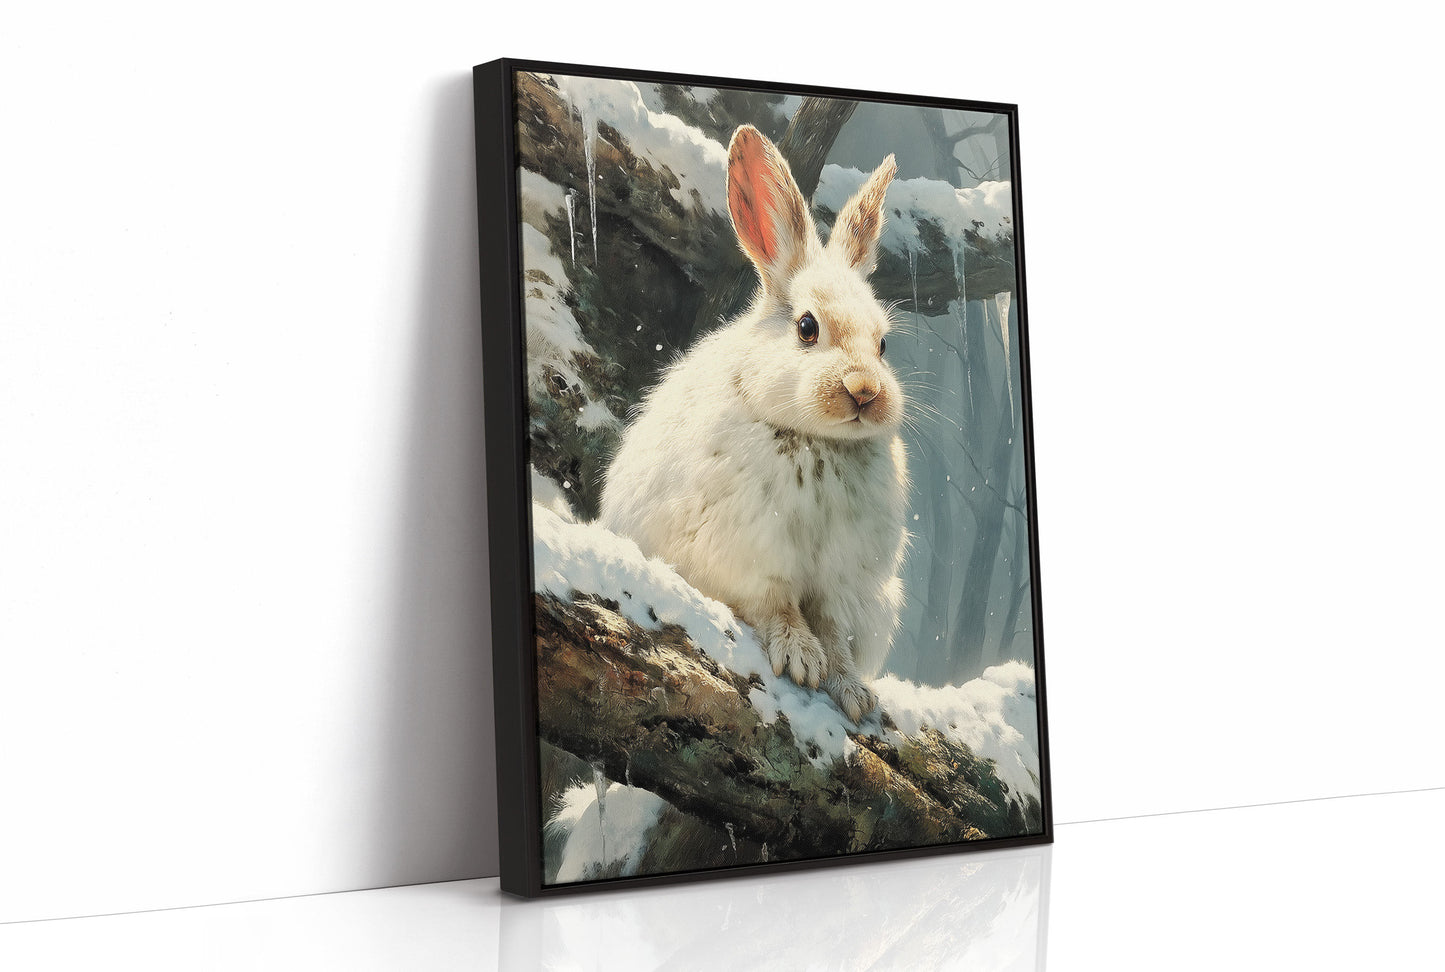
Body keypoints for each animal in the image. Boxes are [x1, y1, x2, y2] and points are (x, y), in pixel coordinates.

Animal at [598, 124, 908, 723]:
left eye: (883, 344)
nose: (865, 391)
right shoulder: (751, 556)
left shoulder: (842, 584)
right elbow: (778, 607)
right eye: (807, 327)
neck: (816, 440)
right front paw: (801, 659)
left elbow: (834, 633)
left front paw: (852, 691)